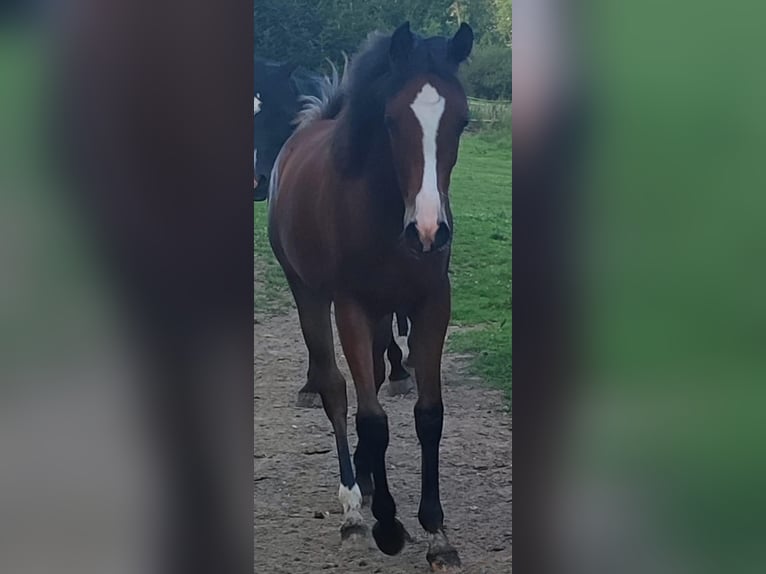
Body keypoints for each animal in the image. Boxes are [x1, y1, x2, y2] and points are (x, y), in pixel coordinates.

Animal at [268, 21, 474, 569]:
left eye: (462, 121)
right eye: (390, 119)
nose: (429, 232)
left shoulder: (430, 305)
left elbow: (428, 414)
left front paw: (436, 532)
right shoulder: (353, 308)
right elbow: (370, 417)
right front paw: (385, 523)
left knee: (377, 379)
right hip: (310, 296)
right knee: (336, 391)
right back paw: (354, 504)